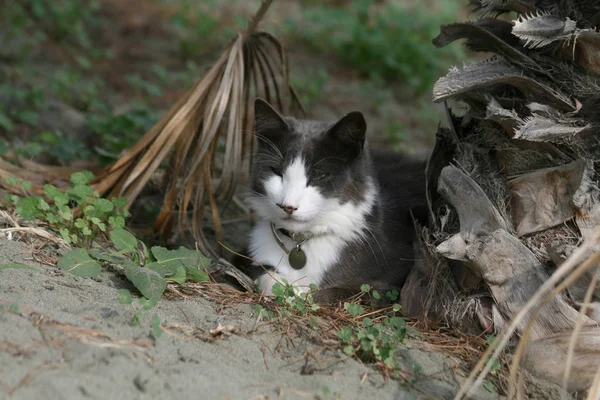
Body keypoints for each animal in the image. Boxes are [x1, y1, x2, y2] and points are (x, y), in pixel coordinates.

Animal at [241, 97, 428, 304]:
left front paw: (298, 292)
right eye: (277, 172)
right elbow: (265, 277)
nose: (288, 206)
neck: (300, 242)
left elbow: (325, 293)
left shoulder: (391, 284)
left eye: (318, 176)